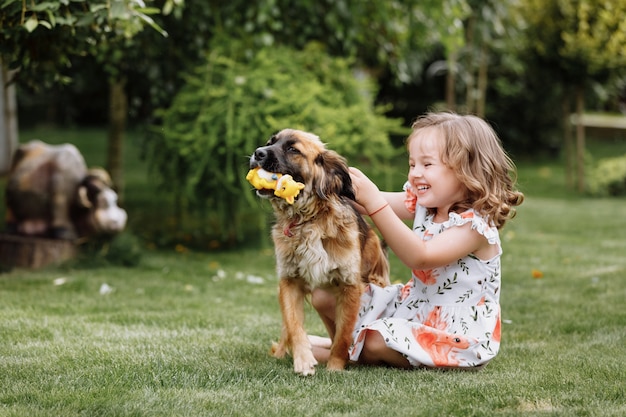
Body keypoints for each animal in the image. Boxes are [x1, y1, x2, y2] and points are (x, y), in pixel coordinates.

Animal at [247, 127, 386, 374]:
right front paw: (303, 360)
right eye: (270, 142)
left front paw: (335, 367)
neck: (308, 220)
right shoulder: (289, 282)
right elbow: (294, 326)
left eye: (293, 149)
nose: (258, 152)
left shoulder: (350, 286)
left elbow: (342, 335)